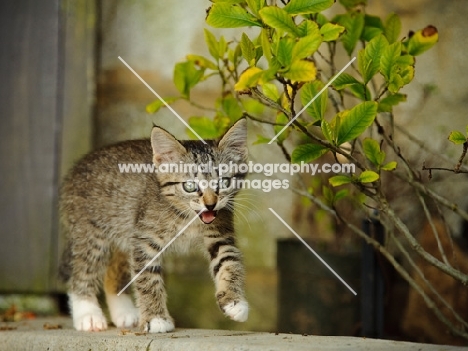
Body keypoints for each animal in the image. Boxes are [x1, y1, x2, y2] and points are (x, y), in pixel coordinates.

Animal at [59, 119, 249, 334]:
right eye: (190, 186)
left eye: (224, 182)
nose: (210, 205)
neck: (188, 218)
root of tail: (77, 167)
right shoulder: (144, 240)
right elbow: (148, 278)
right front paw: (156, 318)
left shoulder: (220, 235)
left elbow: (229, 262)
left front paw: (235, 302)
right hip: (91, 233)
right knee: (82, 269)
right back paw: (87, 314)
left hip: (123, 234)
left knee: (113, 270)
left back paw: (124, 312)